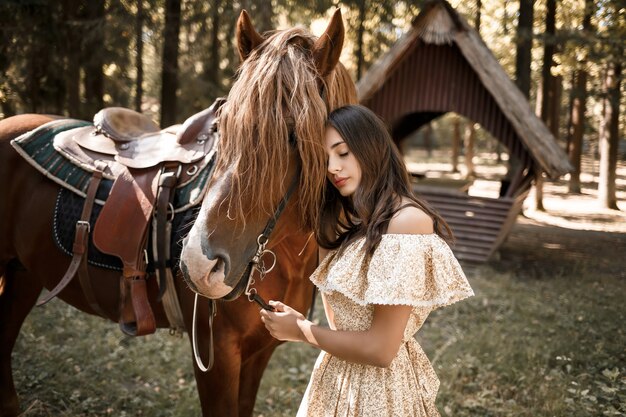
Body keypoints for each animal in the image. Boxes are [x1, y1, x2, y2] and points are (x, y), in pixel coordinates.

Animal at [0, 7, 354, 416]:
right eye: (223, 127)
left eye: (296, 134)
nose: (200, 265)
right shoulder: (217, 356)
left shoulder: (258, 354)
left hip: (23, 274)